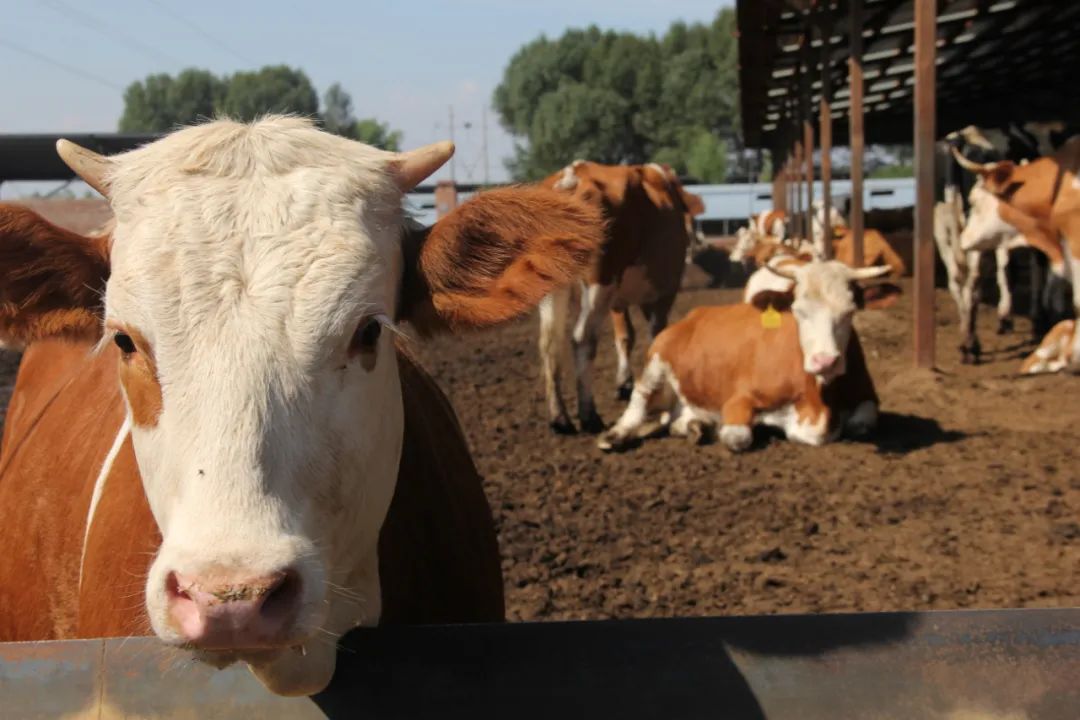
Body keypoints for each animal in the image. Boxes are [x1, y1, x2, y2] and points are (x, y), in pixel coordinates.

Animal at [537, 160, 704, 431]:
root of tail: (572, 176)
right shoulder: (663, 294)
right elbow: (656, 335)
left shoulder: (619, 301)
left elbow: (625, 336)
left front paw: (625, 383)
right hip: (600, 283)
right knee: (582, 338)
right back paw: (588, 415)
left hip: (552, 287)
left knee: (550, 344)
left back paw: (559, 417)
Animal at [600, 259, 894, 453]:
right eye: (798, 310)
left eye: (849, 311)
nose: (825, 361)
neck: (818, 398)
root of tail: (692, 316)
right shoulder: (739, 399)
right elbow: (736, 438)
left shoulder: (867, 396)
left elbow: (860, 422)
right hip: (656, 363)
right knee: (637, 404)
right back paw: (614, 435)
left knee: (673, 420)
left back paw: (694, 425)